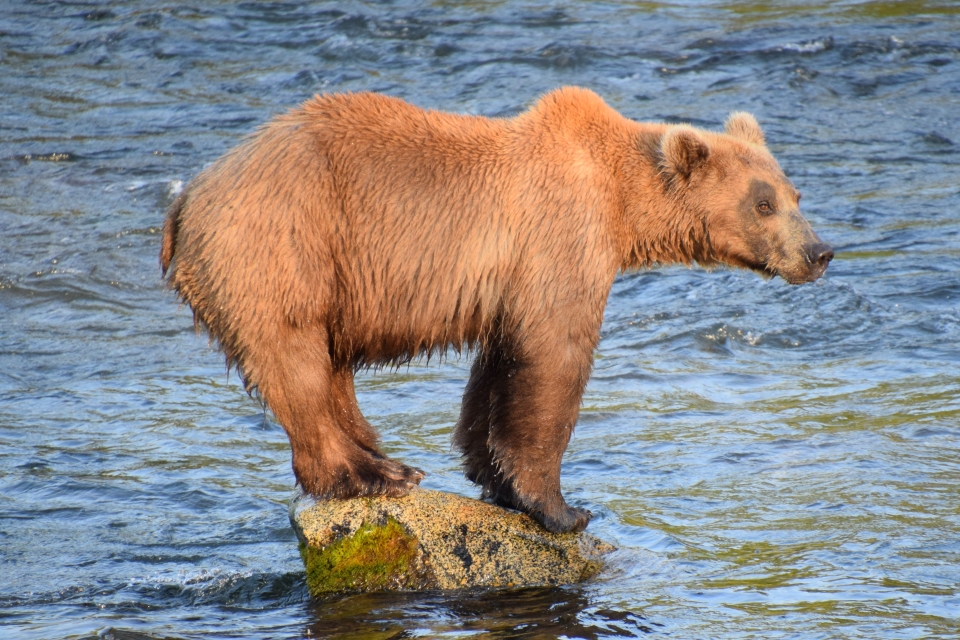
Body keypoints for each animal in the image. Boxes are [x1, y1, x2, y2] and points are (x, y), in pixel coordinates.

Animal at [160, 87, 832, 534]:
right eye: (764, 203)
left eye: (794, 192)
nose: (820, 252)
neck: (621, 203)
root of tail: (187, 197)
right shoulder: (559, 238)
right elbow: (553, 359)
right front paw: (563, 507)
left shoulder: (509, 283)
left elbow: (498, 366)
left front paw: (492, 475)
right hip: (283, 245)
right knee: (296, 360)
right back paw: (370, 474)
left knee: (329, 366)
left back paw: (387, 459)